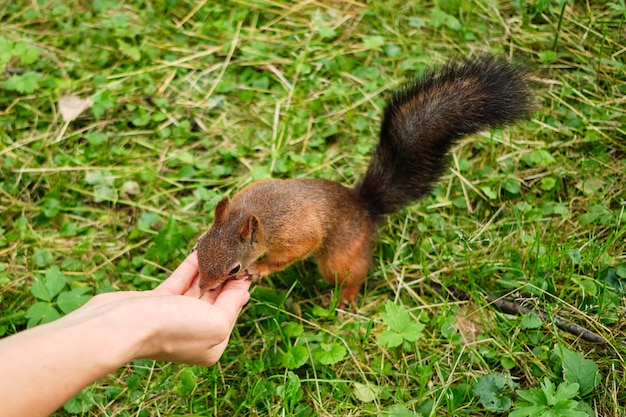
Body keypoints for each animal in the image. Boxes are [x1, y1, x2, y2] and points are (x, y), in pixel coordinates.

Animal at [194, 54, 532, 302]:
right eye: (201, 248)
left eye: (235, 268)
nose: (202, 289)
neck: (248, 213)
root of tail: (365, 206)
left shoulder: (293, 233)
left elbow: (296, 249)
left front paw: (261, 268)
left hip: (339, 258)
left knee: (352, 274)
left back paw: (346, 297)